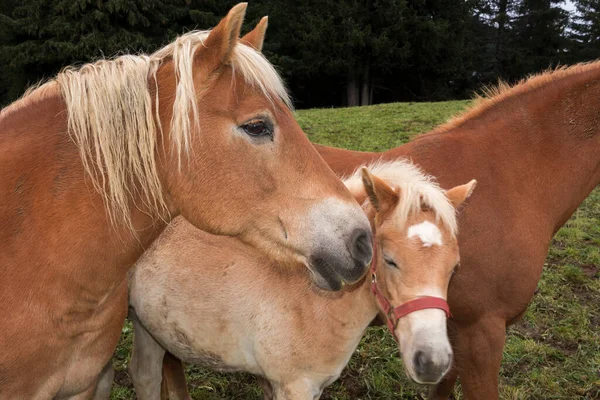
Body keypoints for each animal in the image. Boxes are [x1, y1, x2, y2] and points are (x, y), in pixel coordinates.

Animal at [127, 161, 478, 398]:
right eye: (390, 259)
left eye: (454, 268)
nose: (432, 361)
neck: (313, 300)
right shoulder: (293, 386)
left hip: (148, 326)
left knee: (144, 376)